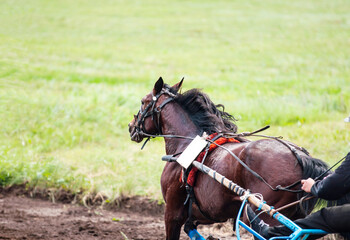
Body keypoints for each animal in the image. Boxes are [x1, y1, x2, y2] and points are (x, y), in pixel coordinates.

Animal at [128, 78, 328, 239]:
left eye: (143, 102)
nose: (131, 126)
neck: (187, 145)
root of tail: (300, 157)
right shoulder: (197, 216)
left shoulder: (172, 213)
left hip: (262, 214)